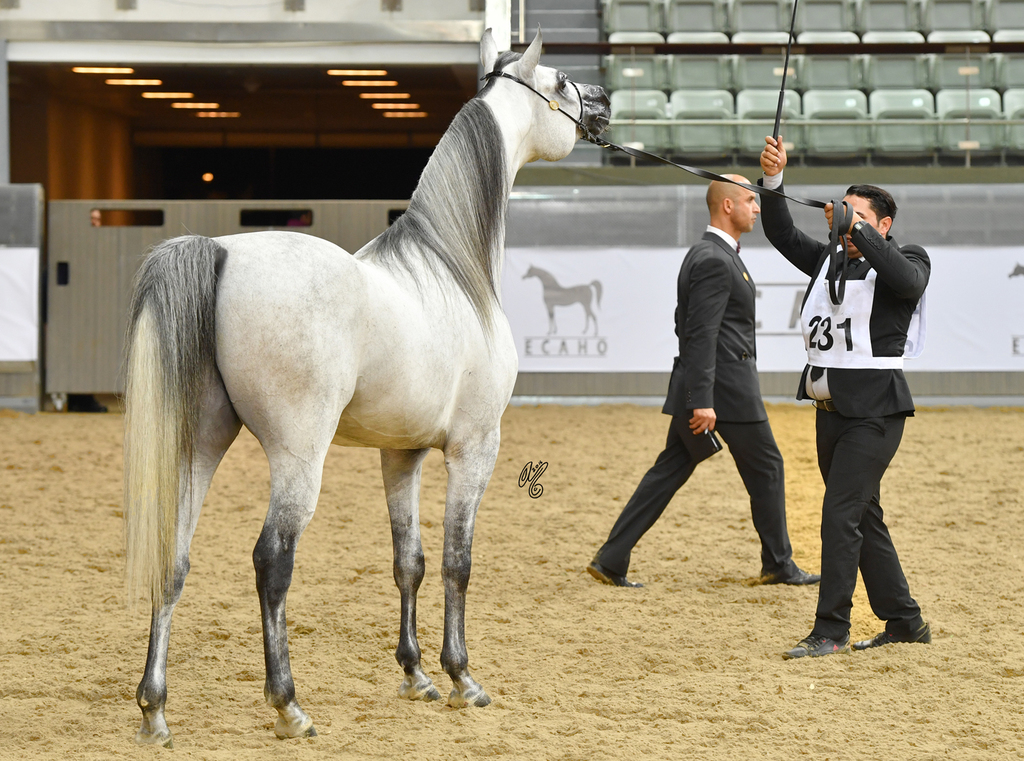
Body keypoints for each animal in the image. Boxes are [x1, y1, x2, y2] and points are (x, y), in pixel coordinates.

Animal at [122, 29, 609, 747]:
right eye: (559, 82)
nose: (602, 101)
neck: (453, 269)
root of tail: (222, 252)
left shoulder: (399, 454)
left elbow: (410, 560)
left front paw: (416, 675)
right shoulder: (475, 448)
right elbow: (458, 560)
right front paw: (462, 677)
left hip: (200, 446)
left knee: (173, 556)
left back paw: (155, 709)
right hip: (298, 456)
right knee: (272, 561)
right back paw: (288, 705)